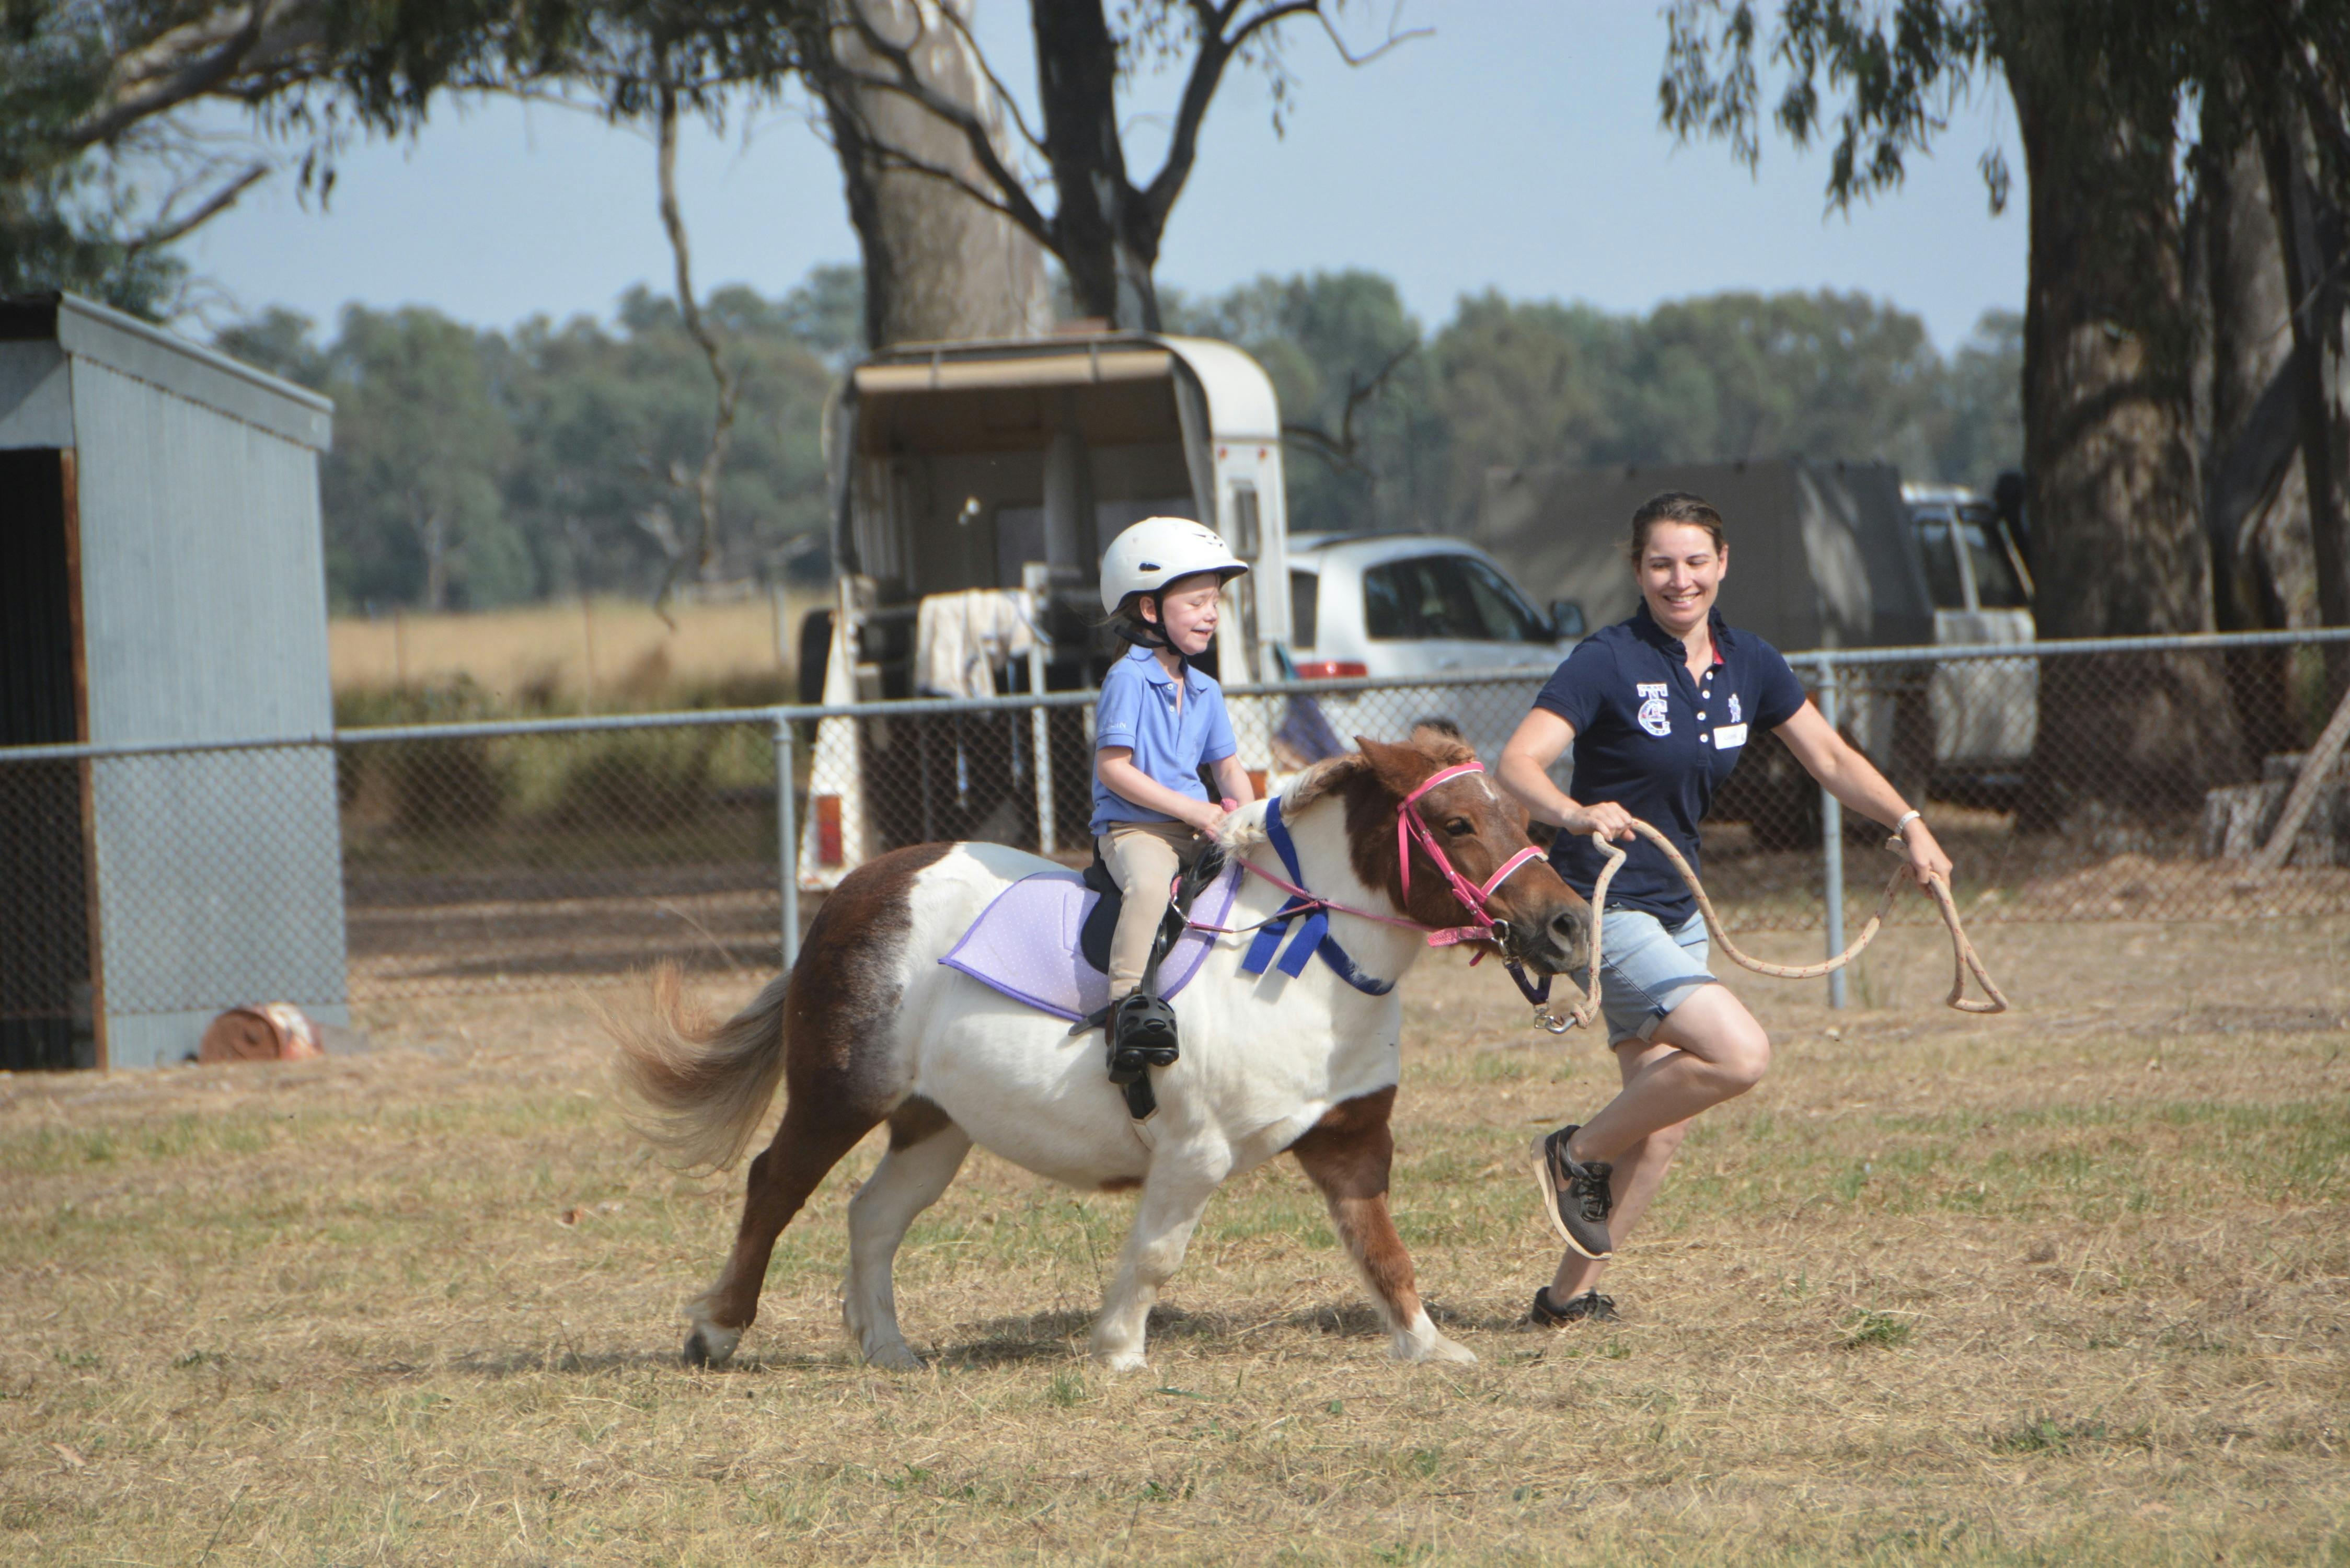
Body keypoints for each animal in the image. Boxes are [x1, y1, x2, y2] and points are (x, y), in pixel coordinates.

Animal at [608, 725, 1590, 1372]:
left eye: (1515, 811)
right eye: (1458, 825)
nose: (1569, 925)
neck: (1312, 960)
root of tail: (860, 888)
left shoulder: (1348, 1144)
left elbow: (1382, 1250)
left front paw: (1431, 1349)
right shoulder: (1195, 1154)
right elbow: (1156, 1256)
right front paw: (1117, 1351)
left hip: (935, 1125)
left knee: (874, 1215)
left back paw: (887, 1347)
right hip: (840, 1095)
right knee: (774, 1185)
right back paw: (718, 1331)